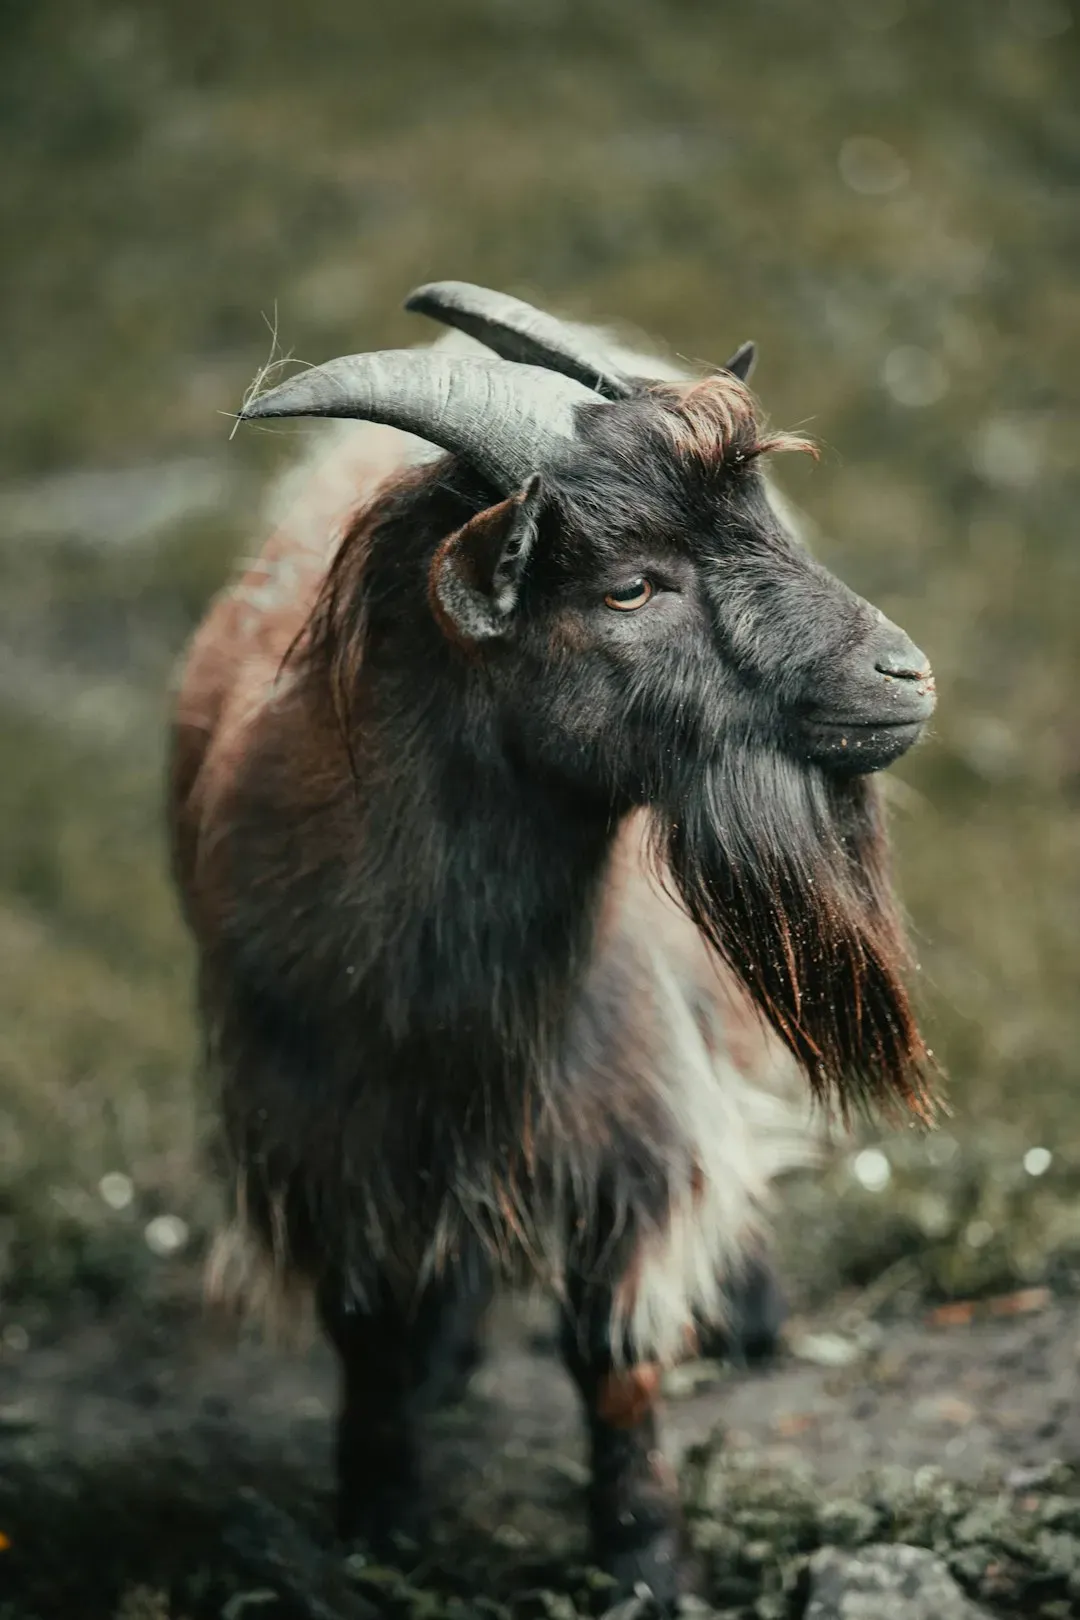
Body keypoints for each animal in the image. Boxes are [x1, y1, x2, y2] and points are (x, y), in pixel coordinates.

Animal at [168, 281, 937, 1607]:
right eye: (629, 588)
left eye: (761, 521)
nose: (904, 675)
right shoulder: (325, 1149)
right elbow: (368, 1349)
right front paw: (378, 1525)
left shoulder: (624, 1123)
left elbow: (611, 1359)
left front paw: (647, 1566)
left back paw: (745, 1314)